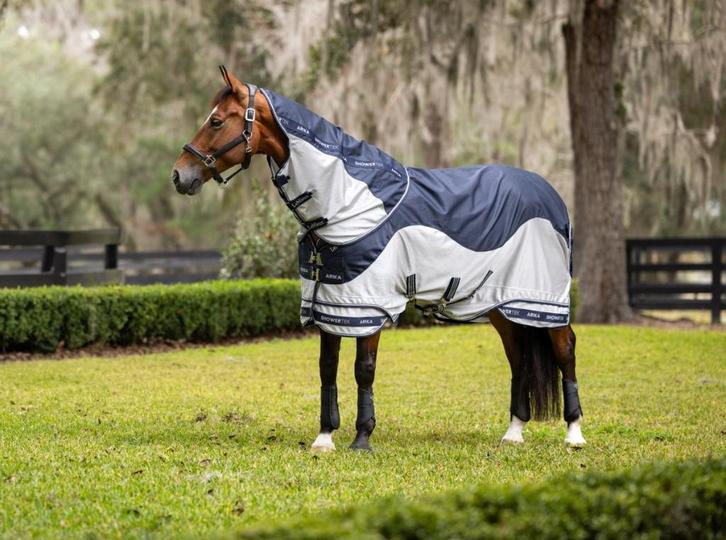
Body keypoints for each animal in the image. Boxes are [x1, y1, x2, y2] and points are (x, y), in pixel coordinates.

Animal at [171, 66, 585, 452]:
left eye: (216, 121)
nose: (179, 175)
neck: (350, 205)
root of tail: (550, 193)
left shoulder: (368, 305)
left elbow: (363, 370)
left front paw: (362, 437)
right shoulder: (332, 305)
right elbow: (327, 368)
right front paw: (324, 438)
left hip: (546, 300)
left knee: (565, 351)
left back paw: (574, 433)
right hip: (503, 304)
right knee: (519, 358)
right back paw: (513, 432)